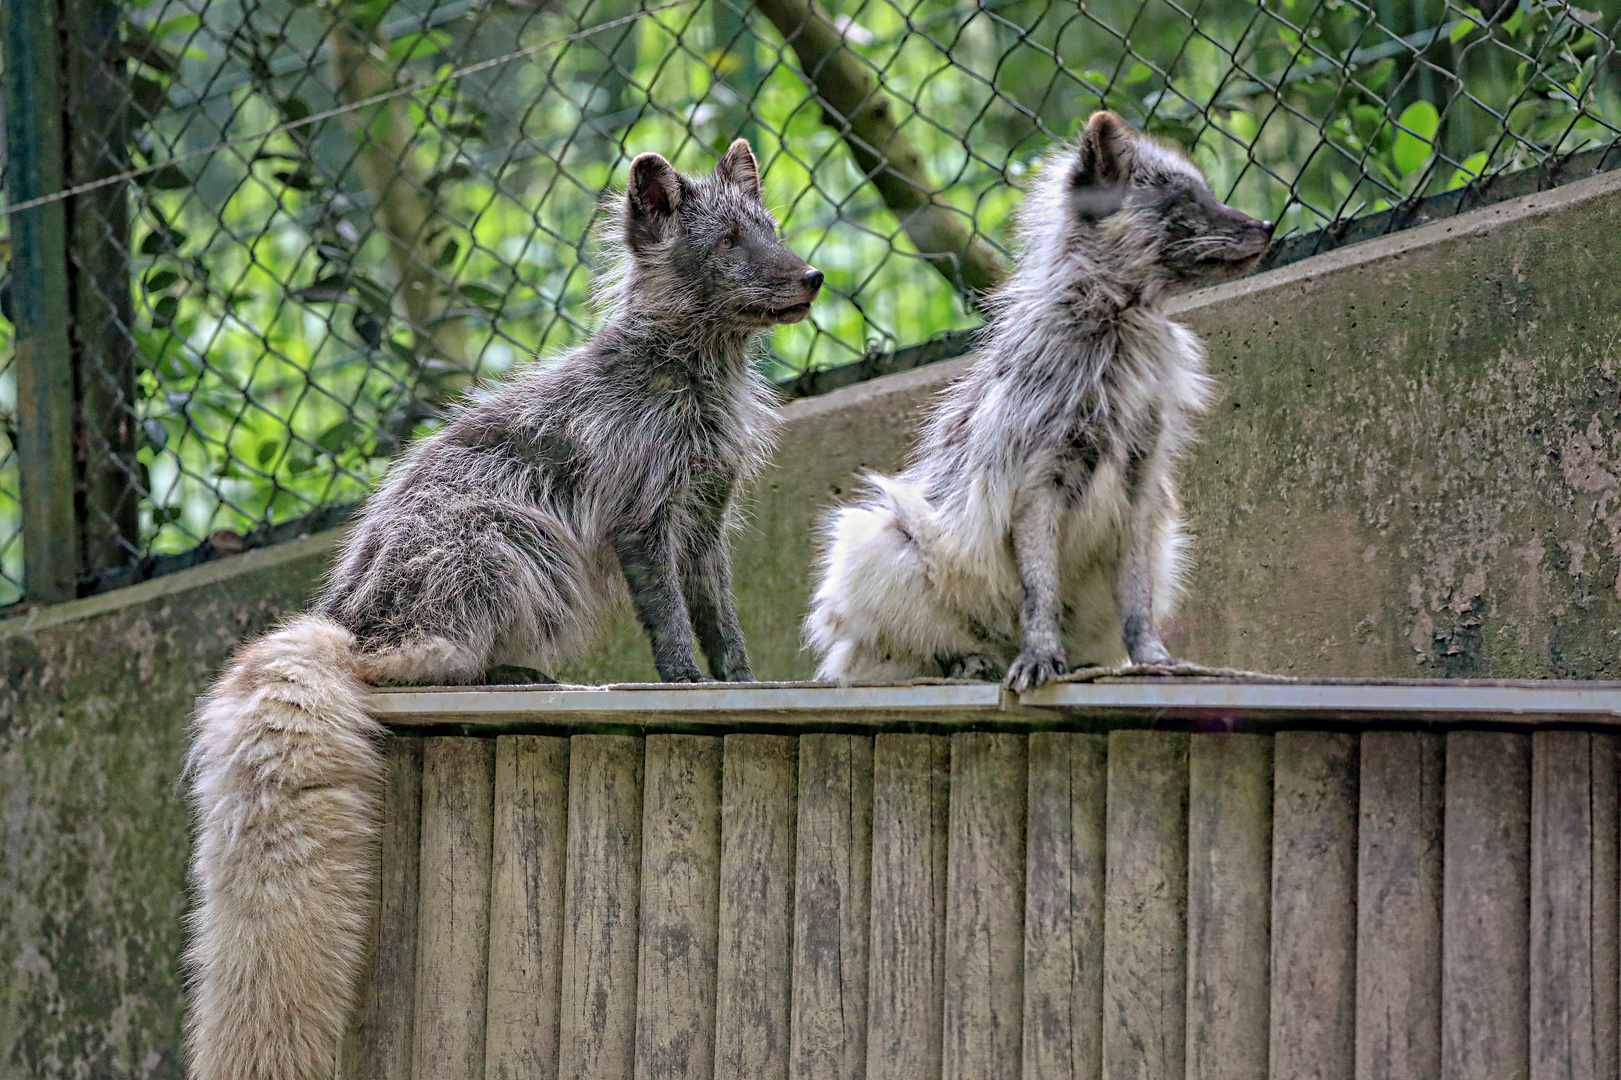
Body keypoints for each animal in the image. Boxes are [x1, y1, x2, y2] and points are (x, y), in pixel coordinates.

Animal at [186, 141, 823, 1076]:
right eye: (733, 242)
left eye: (771, 229)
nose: (813, 275)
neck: (693, 382)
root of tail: (338, 617)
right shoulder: (642, 520)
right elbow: (671, 627)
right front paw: (680, 682)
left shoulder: (705, 526)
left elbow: (723, 626)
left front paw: (739, 683)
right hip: (502, 541)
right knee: (400, 668)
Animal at [804, 111, 1270, 690]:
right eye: (1184, 202)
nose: (1268, 227)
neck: (1111, 345)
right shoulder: (1036, 482)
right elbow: (1039, 593)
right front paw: (1041, 658)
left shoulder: (1139, 486)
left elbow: (1135, 600)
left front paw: (1152, 659)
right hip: (880, 537)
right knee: (911, 656)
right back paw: (972, 664)